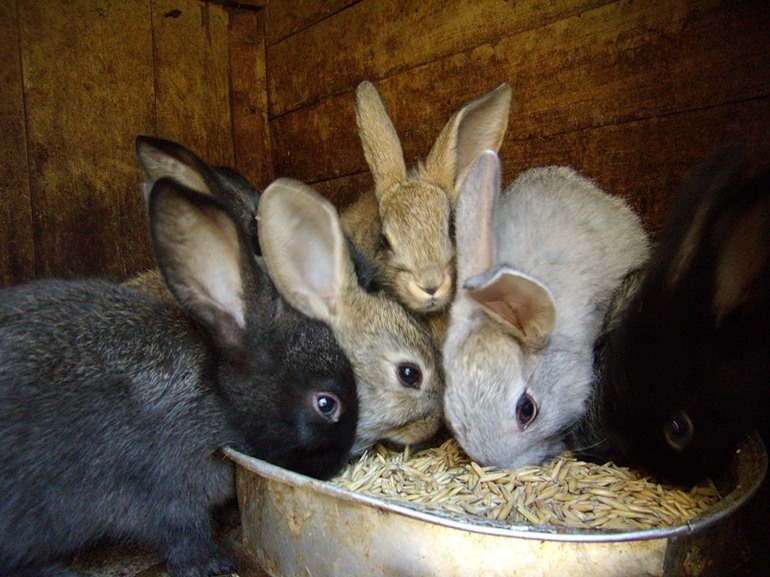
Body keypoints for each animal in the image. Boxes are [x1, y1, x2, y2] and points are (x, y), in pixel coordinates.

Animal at [0, 171, 358, 577]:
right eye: (326, 404)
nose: (334, 467)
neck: (216, 393)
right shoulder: (163, 487)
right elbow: (181, 534)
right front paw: (212, 565)